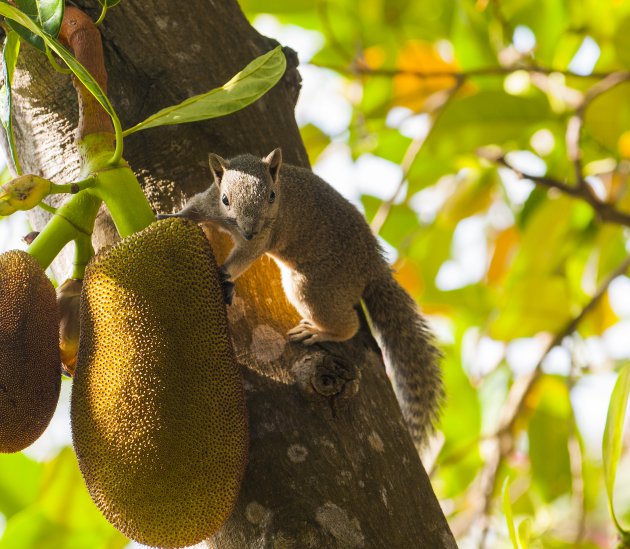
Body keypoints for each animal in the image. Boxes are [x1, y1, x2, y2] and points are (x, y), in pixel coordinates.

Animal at [158, 149, 444, 446]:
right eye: (226, 198)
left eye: (271, 196)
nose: (249, 230)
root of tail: (373, 267)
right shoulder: (210, 201)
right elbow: (194, 209)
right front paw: (171, 214)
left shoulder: (262, 238)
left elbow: (244, 257)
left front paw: (224, 274)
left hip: (310, 287)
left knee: (349, 324)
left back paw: (318, 332)